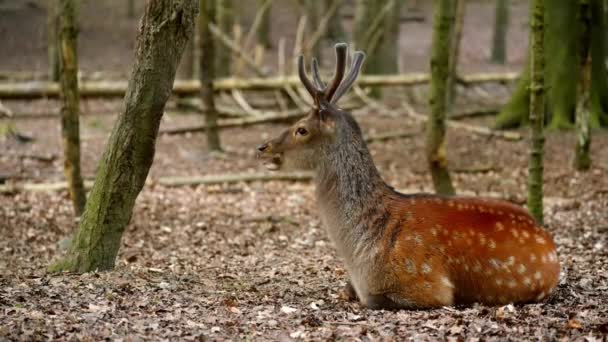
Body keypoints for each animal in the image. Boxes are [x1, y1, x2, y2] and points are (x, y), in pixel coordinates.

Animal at [254, 43, 560, 310]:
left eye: (301, 129)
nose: (262, 148)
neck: (359, 254)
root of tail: (552, 247)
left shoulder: (429, 285)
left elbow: (373, 299)